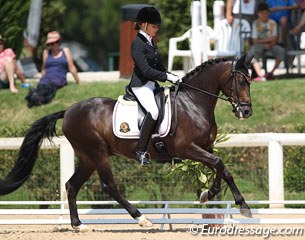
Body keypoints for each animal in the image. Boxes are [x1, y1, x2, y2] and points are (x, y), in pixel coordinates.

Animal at [0, 54, 252, 231]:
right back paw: (141, 218)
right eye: (241, 81)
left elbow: (222, 168)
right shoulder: (187, 148)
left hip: (87, 157)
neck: (192, 102)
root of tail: (69, 110)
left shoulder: (204, 147)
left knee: (71, 185)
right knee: (109, 186)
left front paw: (223, 199)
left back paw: (78, 225)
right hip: (98, 153)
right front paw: (221, 198)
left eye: (250, 80)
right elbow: (218, 163)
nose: (246, 111)